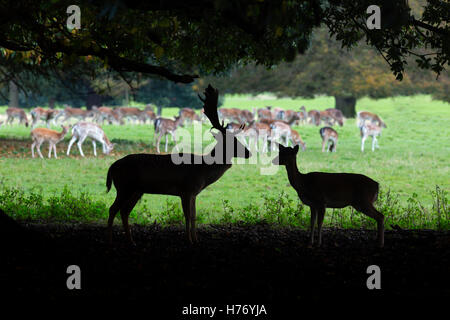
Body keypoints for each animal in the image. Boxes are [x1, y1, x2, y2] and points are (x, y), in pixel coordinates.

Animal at [107, 84, 251, 244]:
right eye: (232, 142)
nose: (248, 153)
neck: (203, 170)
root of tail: (112, 167)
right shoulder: (186, 190)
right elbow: (187, 216)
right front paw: (189, 240)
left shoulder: (194, 193)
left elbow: (194, 216)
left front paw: (196, 240)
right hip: (124, 187)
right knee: (113, 209)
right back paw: (111, 239)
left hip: (136, 190)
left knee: (124, 211)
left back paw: (131, 241)